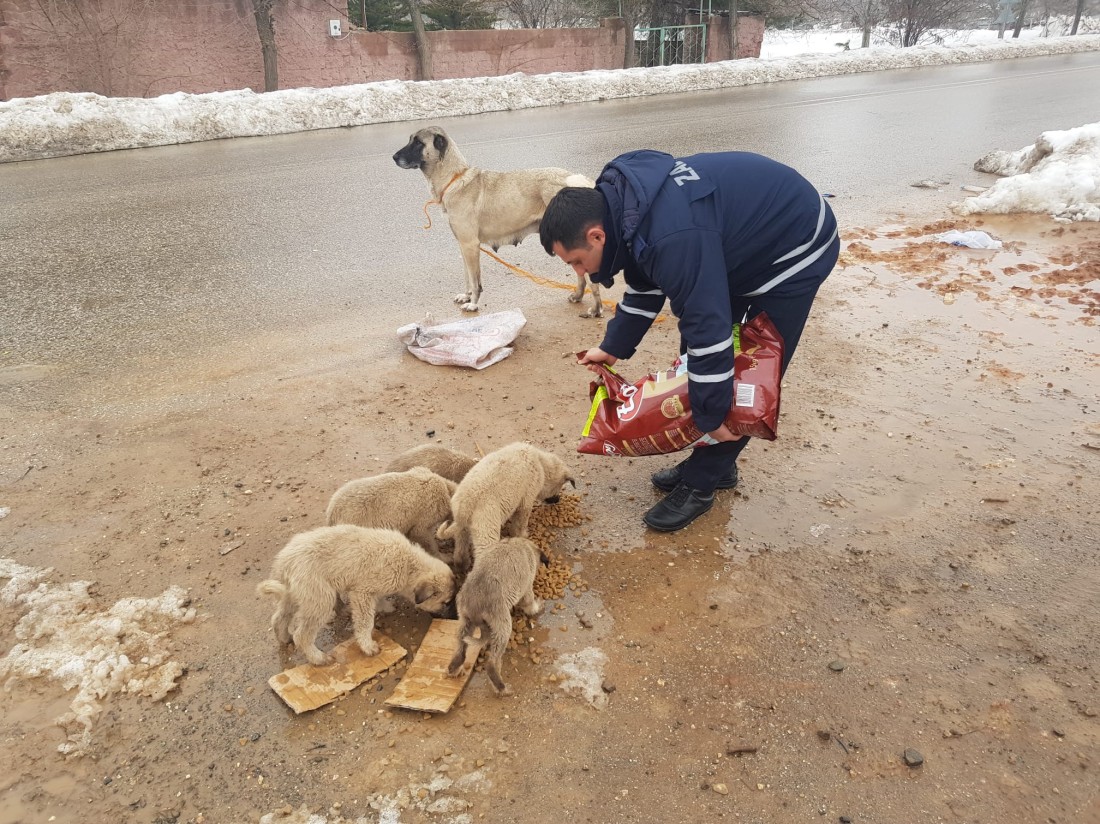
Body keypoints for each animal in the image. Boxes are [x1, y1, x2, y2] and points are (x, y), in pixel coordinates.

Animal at [255, 523, 453, 664]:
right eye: (445, 602)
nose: (451, 618)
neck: (408, 565)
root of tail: (285, 560)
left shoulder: (374, 588)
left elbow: (380, 599)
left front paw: (385, 606)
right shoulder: (361, 593)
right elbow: (365, 622)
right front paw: (367, 646)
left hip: (295, 594)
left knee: (279, 618)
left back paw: (284, 638)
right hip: (320, 598)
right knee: (302, 635)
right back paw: (318, 658)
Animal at [437, 444, 576, 572]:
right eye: (560, 487)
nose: (558, 500)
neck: (541, 463)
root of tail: (465, 506)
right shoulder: (526, 502)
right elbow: (519, 525)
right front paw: (523, 535)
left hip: (462, 529)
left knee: (460, 550)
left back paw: (463, 566)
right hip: (486, 532)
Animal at [446, 534, 541, 695]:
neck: (519, 544)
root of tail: (475, 604)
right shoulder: (527, 587)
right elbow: (529, 602)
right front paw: (536, 608)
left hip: (464, 622)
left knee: (460, 649)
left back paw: (454, 669)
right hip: (502, 627)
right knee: (491, 664)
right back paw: (502, 688)